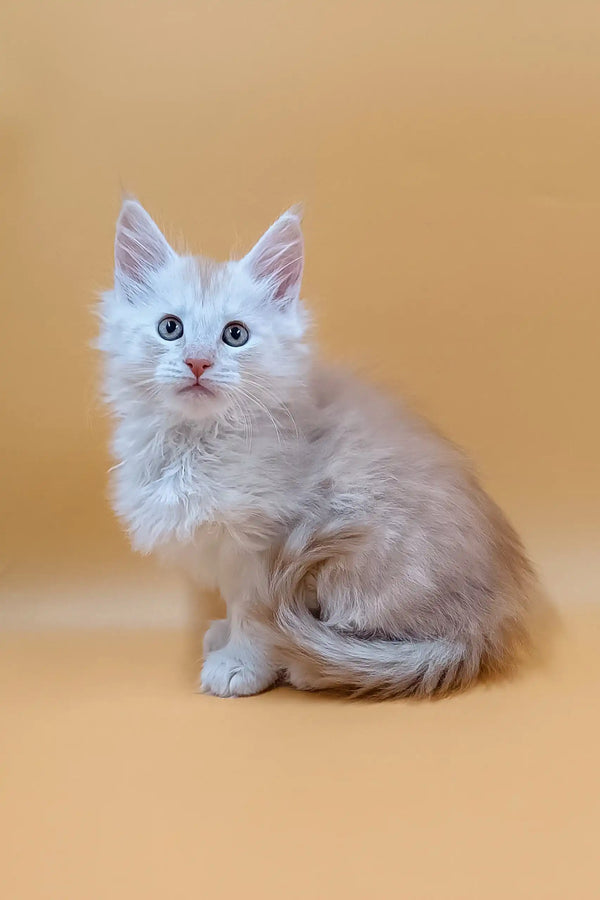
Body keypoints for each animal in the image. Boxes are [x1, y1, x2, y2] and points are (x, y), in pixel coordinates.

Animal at [99, 200, 536, 700]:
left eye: (235, 335)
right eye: (171, 328)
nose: (198, 362)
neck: (197, 444)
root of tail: (485, 628)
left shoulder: (268, 549)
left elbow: (254, 615)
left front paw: (241, 664)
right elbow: (234, 604)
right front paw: (225, 636)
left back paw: (316, 665)